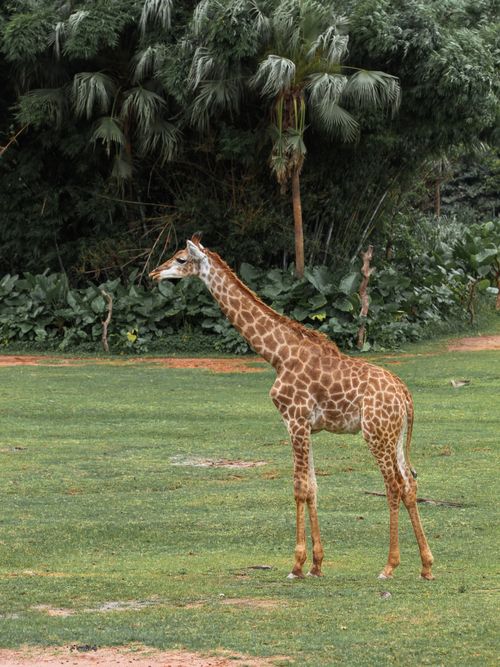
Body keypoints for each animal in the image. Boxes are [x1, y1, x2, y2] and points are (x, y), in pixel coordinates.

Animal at [149, 234, 434, 581]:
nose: (153, 274)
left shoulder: (294, 419)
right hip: (395, 436)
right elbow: (313, 486)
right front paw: (316, 564)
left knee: (392, 485)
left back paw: (389, 566)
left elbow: (299, 487)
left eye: (180, 259)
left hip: (376, 433)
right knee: (409, 484)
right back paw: (426, 566)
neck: (277, 356)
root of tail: (405, 395)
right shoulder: (307, 426)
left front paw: (296, 565)